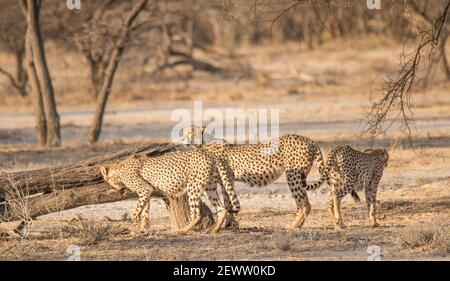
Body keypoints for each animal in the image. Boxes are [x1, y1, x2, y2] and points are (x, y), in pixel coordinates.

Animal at [98, 149, 239, 234]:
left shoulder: (145, 189)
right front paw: (143, 229)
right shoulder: (147, 193)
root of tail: (210, 154)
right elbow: (144, 211)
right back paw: (214, 230)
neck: (119, 169)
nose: (115, 188)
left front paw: (133, 228)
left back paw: (182, 230)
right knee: (221, 208)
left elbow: (136, 211)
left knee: (197, 214)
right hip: (209, 187)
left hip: (192, 187)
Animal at [182, 126, 326, 229]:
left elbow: (229, 202)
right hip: (297, 177)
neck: (203, 145)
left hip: (293, 176)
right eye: (184, 132)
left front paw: (231, 224)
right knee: (303, 203)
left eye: (191, 132)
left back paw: (293, 226)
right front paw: (229, 223)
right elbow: (227, 202)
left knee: (304, 204)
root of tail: (309, 140)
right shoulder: (226, 181)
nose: (182, 139)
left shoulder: (227, 179)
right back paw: (298, 225)